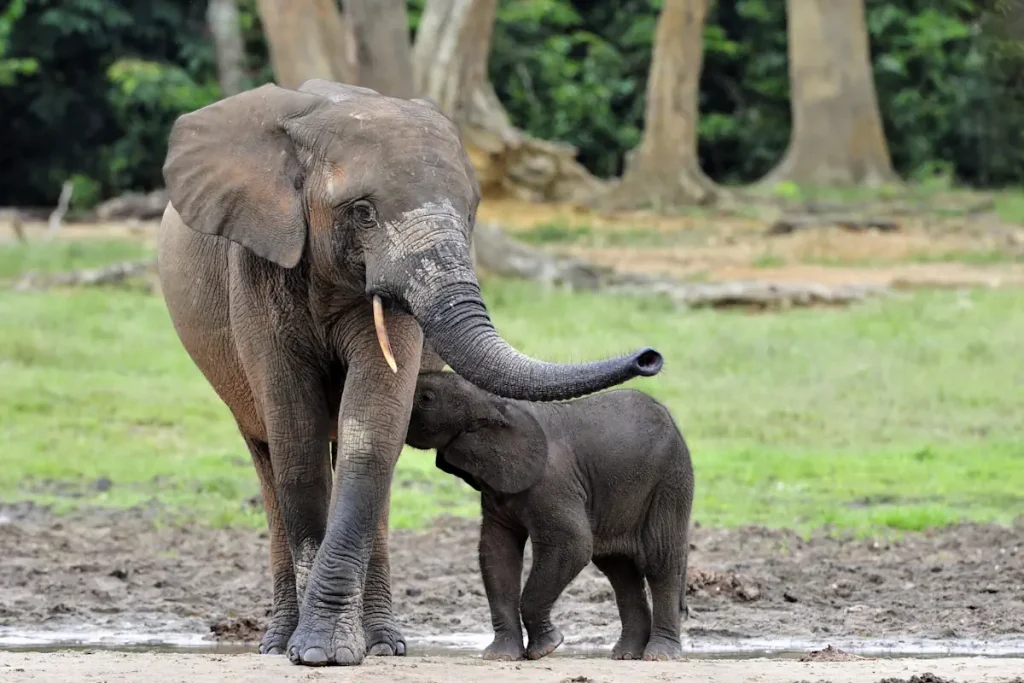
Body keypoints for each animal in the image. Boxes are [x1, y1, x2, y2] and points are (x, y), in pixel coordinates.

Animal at [152, 77, 663, 663]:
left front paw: (329, 651)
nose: (650, 357)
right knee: (267, 455)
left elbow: (371, 433)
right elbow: (297, 440)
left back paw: (384, 644)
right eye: (363, 212)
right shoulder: (259, 261)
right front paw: (312, 653)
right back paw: (277, 642)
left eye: (471, 213)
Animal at [403, 370, 692, 659]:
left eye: (426, 398)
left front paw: (546, 648)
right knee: (619, 570)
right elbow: (497, 553)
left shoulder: (553, 483)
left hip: (670, 481)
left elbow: (572, 544)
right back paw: (625, 655)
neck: (492, 402)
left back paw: (659, 655)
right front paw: (500, 656)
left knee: (660, 560)